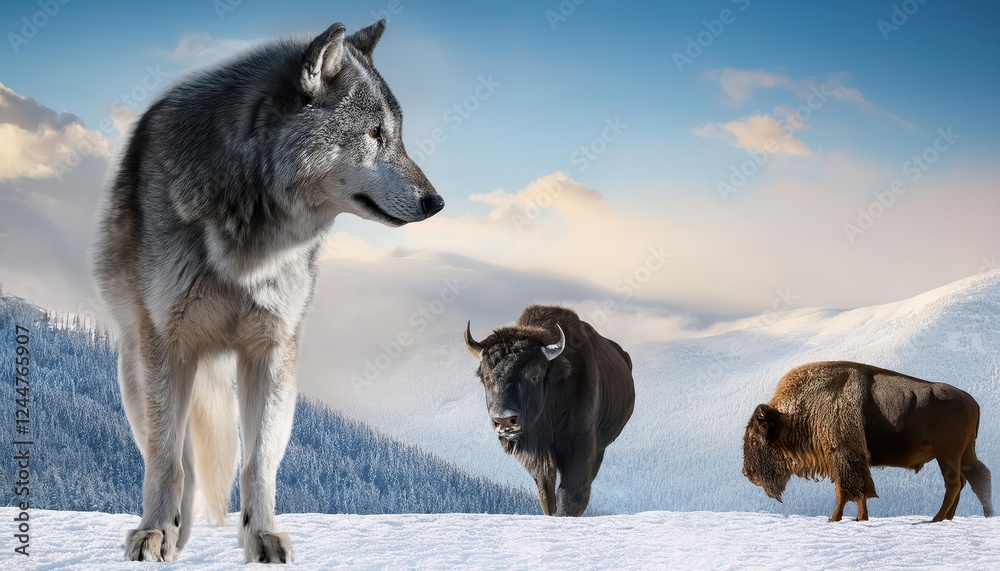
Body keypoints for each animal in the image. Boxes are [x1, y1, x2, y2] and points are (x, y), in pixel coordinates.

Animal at [91, 20, 443, 563]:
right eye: (374, 133)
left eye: (397, 136)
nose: (436, 201)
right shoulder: (167, 346)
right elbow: (167, 457)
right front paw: (156, 532)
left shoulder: (272, 350)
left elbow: (259, 462)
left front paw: (262, 536)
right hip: (138, 362)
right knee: (173, 455)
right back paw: (176, 529)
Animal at [464, 305, 635, 516]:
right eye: (486, 376)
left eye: (535, 376)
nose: (504, 420)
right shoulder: (538, 453)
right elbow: (546, 492)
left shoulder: (580, 445)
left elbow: (569, 492)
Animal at [743, 361, 993, 522]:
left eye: (754, 439)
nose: (747, 473)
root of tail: (972, 401)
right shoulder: (848, 459)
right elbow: (856, 489)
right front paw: (858, 518)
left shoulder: (844, 454)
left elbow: (847, 489)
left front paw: (835, 519)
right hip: (964, 453)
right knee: (974, 477)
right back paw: (963, 516)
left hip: (947, 454)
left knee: (954, 483)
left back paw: (936, 519)